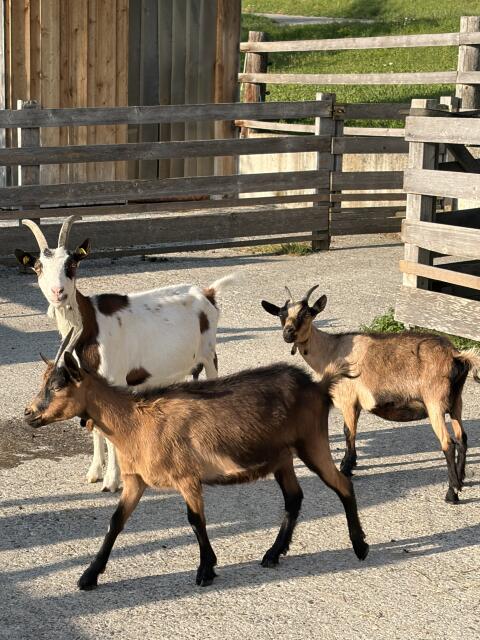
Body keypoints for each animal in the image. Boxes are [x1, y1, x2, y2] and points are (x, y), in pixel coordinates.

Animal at [16, 216, 235, 491]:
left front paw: (111, 481)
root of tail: (208, 293)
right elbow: (95, 428)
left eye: (72, 264)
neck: (90, 325)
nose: (58, 293)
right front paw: (94, 473)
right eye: (38, 267)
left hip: (209, 354)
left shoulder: (114, 378)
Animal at [24, 333, 369, 590]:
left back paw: (360, 546)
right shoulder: (136, 480)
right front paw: (89, 576)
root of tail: (318, 386)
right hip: (281, 457)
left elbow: (195, 520)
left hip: (311, 442)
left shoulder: (186, 476)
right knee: (294, 498)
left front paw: (205, 570)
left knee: (342, 484)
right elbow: (115, 522)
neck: (134, 422)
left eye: (57, 385)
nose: (28, 414)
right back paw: (273, 554)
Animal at [262, 285, 480, 504]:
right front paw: (351, 464)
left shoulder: (348, 400)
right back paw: (461, 480)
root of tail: (456, 355)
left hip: (435, 401)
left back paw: (452, 493)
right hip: (456, 401)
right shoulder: (356, 404)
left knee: (448, 443)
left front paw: (346, 467)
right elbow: (351, 431)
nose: (288, 333)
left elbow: (348, 432)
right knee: (462, 438)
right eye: (281, 313)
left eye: (307, 313)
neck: (331, 350)